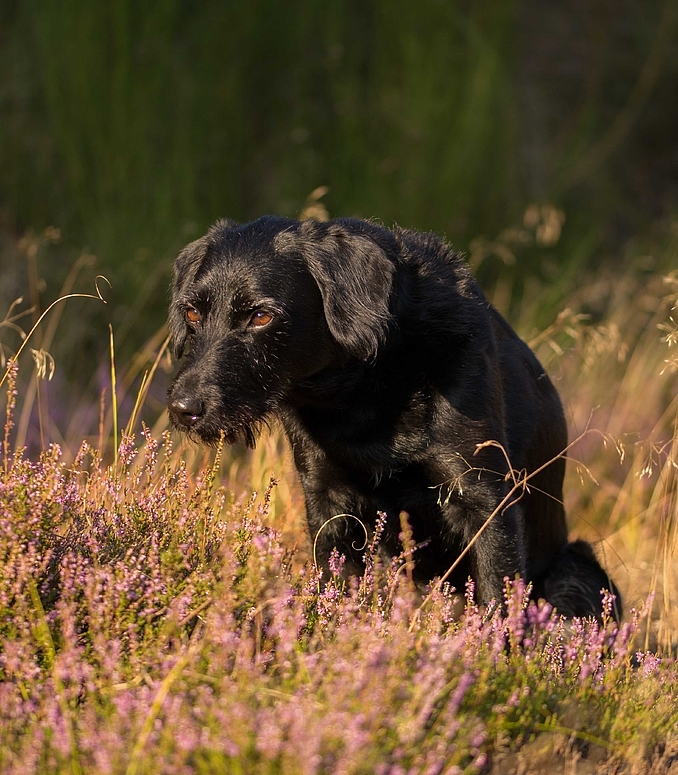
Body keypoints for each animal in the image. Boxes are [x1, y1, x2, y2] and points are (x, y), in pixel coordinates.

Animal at [169, 215, 620, 620]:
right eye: (191, 313)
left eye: (261, 316)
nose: (183, 408)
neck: (366, 387)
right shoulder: (329, 504)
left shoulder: (484, 501)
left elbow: (499, 602)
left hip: (578, 573)